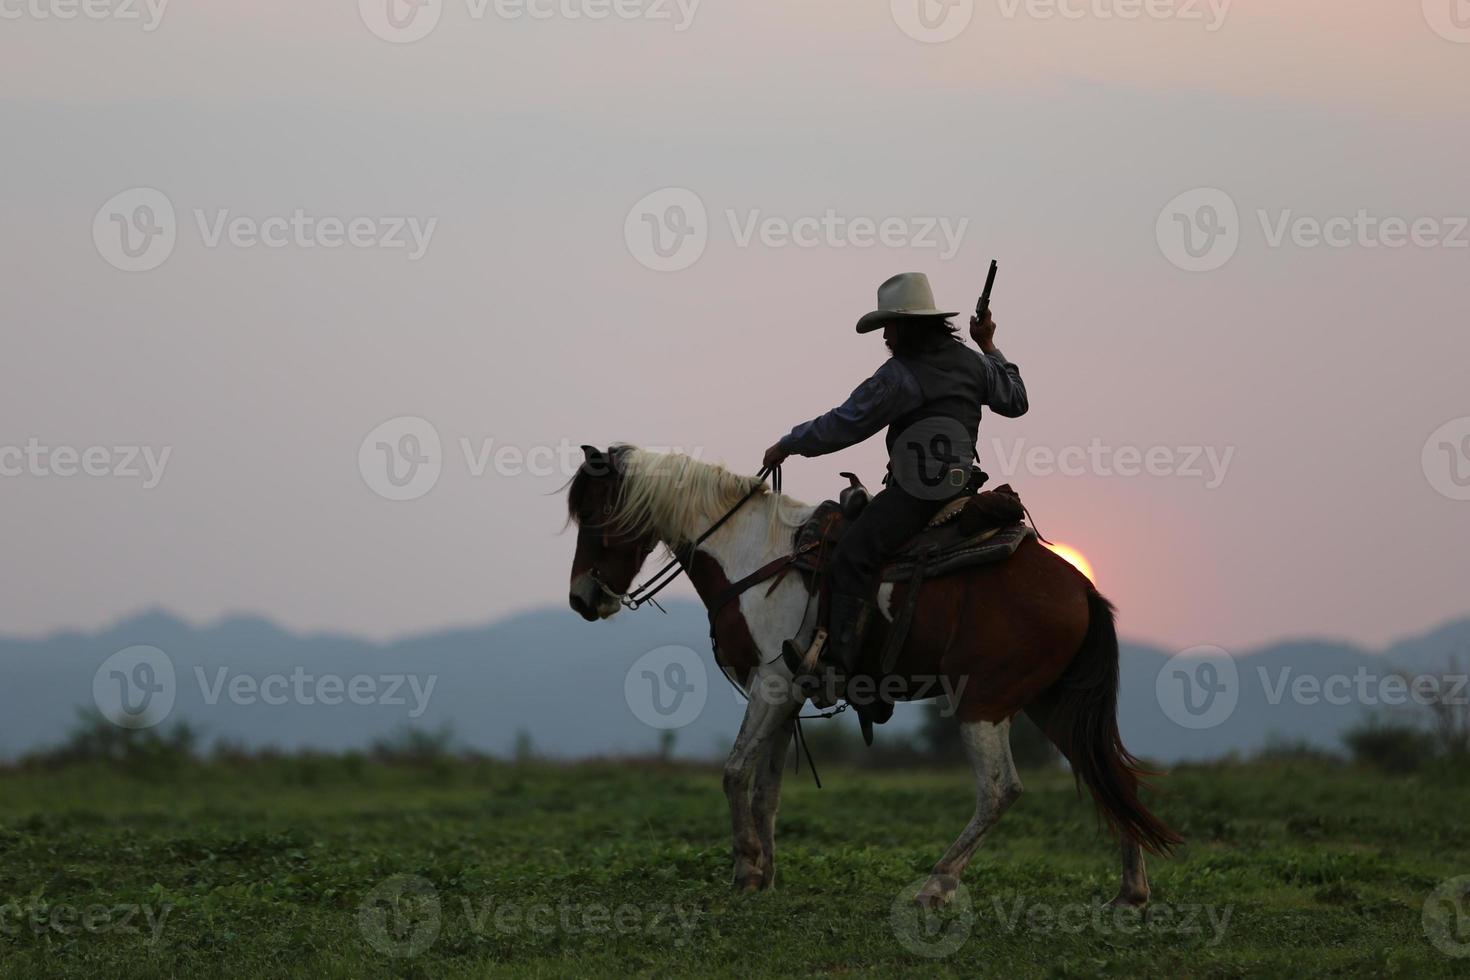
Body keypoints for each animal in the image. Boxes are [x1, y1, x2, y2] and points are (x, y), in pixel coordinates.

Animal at [561, 443, 1181, 910]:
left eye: (591, 514)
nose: (582, 599)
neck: (750, 555)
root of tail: (1080, 587)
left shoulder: (771, 685)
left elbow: (735, 773)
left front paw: (744, 871)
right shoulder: (787, 696)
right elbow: (766, 791)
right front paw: (767, 877)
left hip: (984, 702)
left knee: (1001, 789)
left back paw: (936, 885)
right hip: (1050, 703)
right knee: (1106, 773)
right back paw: (1131, 892)